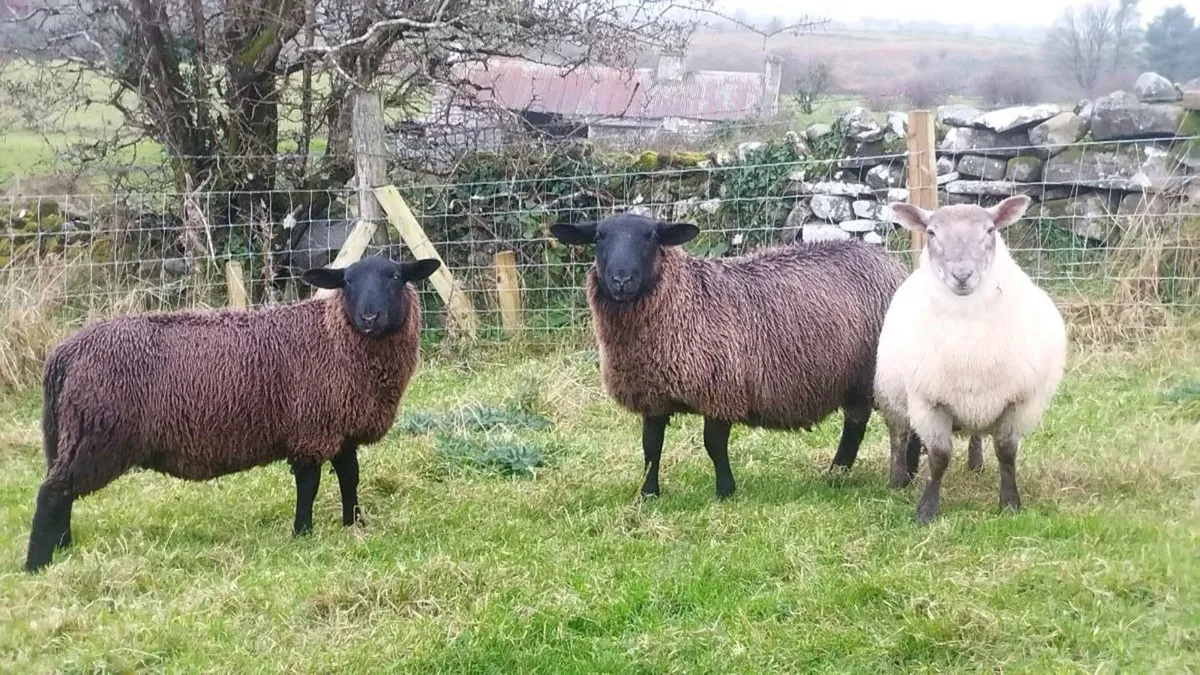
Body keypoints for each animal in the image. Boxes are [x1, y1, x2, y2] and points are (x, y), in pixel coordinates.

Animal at [24, 255, 441, 572]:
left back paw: (62, 548)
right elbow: (308, 485)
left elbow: (350, 477)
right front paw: (302, 533)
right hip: (96, 433)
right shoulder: (309, 427)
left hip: (75, 434)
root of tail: (66, 352)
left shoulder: (340, 428)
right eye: (347, 282)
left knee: (61, 491)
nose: (370, 317)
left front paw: (354, 523)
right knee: (52, 493)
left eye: (395, 276)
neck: (333, 338)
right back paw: (37, 564)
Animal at [549, 213, 909, 499]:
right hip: (854, 379)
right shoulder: (653, 394)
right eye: (598, 237)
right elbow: (651, 447)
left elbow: (713, 445)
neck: (684, 302)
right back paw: (838, 472)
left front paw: (725, 491)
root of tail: (887, 259)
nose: (622, 280)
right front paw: (648, 494)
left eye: (651, 236)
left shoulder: (720, 388)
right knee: (856, 422)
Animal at [875, 195, 1068, 523]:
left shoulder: (1019, 402)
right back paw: (897, 480)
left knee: (977, 435)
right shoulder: (929, 403)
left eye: (990, 230)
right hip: (892, 394)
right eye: (931, 232)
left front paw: (1010, 503)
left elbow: (1006, 453)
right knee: (898, 435)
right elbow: (939, 458)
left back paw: (976, 464)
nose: (962, 275)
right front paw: (926, 510)